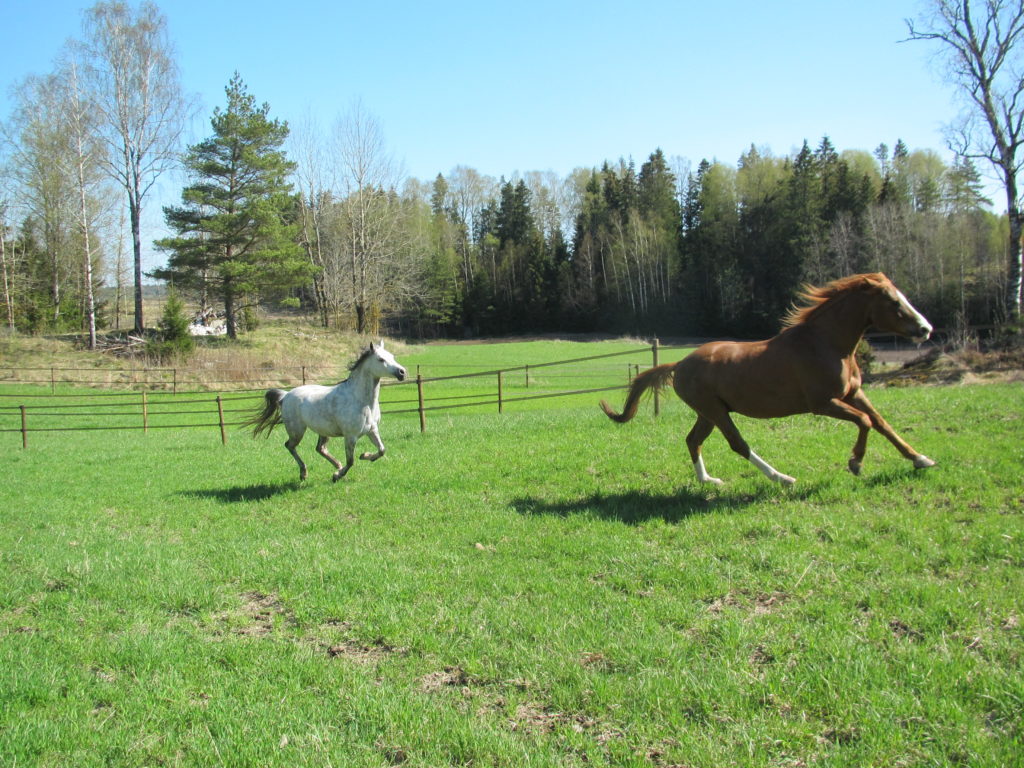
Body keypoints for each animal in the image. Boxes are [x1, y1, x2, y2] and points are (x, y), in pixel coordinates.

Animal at [245, 342, 407, 482]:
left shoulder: (372, 429)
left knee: (320, 448)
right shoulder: (351, 436)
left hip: (323, 431)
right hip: (297, 431)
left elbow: (382, 450)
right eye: (381, 359)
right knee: (290, 446)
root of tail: (285, 396)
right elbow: (351, 461)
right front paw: (337, 476)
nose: (402, 372)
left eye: (392, 356)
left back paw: (336, 465)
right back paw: (304, 473)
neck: (361, 400)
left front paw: (365, 456)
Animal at [600, 273, 936, 486]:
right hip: (715, 411)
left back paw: (708, 480)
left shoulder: (853, 394)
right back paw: (782, 478)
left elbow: (881, 422)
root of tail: (680, 363)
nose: (926, 329)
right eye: (893, 302)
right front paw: (855, 463)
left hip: (708, 413)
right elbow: (865, 422)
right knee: (737, 444)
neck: (825, 344)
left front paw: (920, 459)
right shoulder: (823, 403)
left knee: (693, 440)